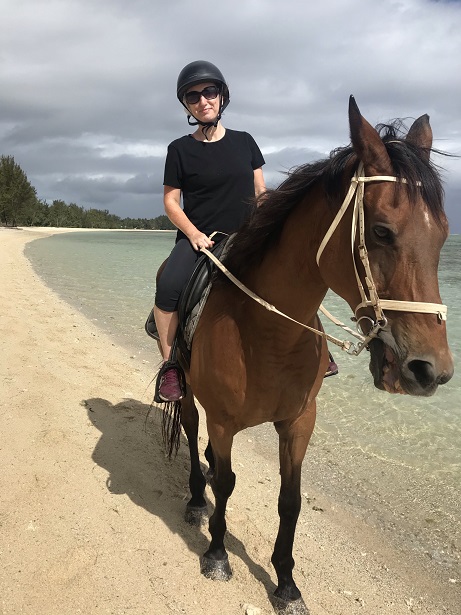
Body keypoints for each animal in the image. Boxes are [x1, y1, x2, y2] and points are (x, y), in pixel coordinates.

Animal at [155, 96, 452, 612]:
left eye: (444, 236)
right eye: (381, 231)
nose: (428, 370)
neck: (267, 334)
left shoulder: (299, 421)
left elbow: (289, 500)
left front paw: (286, 582)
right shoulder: (224, 421)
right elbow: (228, 483)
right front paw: (217, 554)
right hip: (191, 395)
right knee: (192, 436)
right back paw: (195, 499)